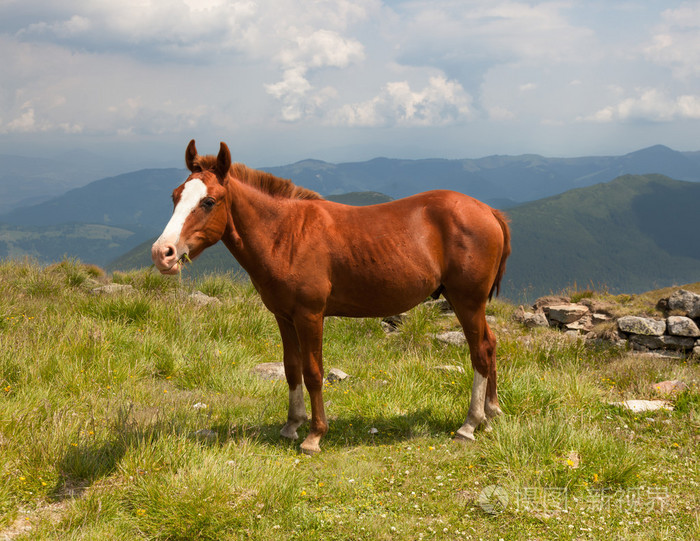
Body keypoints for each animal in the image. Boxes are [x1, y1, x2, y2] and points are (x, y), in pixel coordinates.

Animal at [152, 140, 511, 454]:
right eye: (174, 196)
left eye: (208, 201)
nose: (162, 253)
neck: (285, 234)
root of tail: (489, 211)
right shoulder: (283, 316)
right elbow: (291, 368)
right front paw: (291, 425)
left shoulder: (310, 316)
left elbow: (313, 372)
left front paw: (314, 435)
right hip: (471, 305)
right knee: (490, 344)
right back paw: (491, 414)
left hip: (467, 302)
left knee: (480, 352)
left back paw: (470, 423)